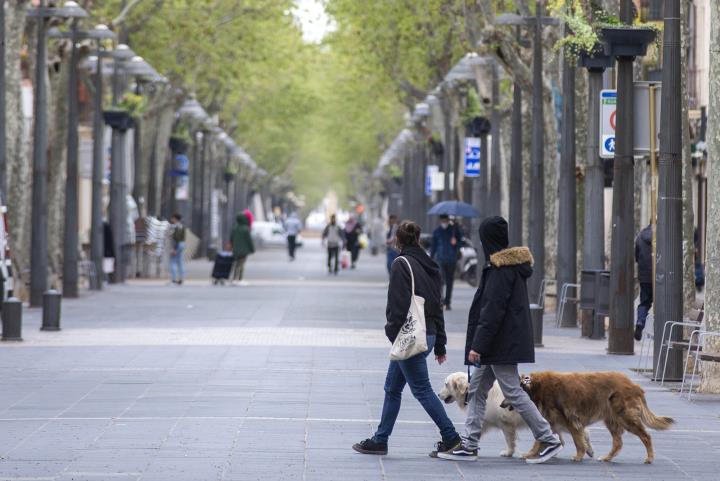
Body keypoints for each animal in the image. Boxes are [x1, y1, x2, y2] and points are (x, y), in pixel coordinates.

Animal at [436, 372, 592, 458]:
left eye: (446, 384)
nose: (438, 395)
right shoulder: (485, 420)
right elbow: (474, 431)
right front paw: (464, 446)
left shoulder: (506, 423)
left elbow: (509, 440)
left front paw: (508, 452)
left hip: (559, 419)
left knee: (581, 432)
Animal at [516, 370, 676, 464]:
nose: (507, 406)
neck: (536, 387)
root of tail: (634, 385)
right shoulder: (550, 422)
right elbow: (539, 440)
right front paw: (532, 454)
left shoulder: (571, 421)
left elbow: (578, 441)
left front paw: (579, 456)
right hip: (612, 420)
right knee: (618, 443)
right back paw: (607, 457)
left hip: (626, 418)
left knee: (646, 436)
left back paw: (649, 458)